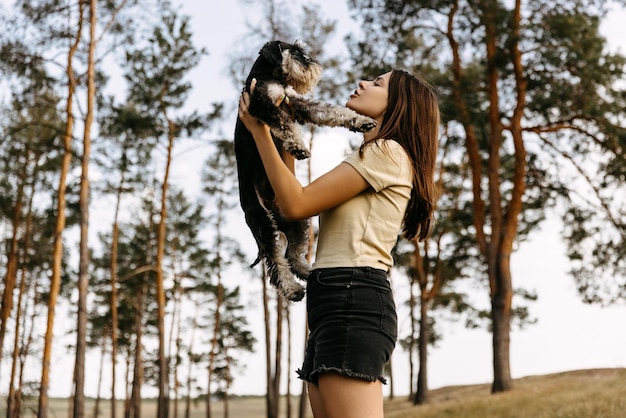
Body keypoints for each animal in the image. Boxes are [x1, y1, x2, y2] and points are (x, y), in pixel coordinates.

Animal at [234, 40, 376, 300]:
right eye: (297, 52)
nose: (315, 65)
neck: (270, 77)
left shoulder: (296, 104)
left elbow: (330, 111)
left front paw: (361, 121)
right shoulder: (263, 105)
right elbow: (284, 125)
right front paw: (298, 147)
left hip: (299, 222)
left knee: (292, 255)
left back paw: (308, 272)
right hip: (263, 223)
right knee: (276, 263)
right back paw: (292, 289)